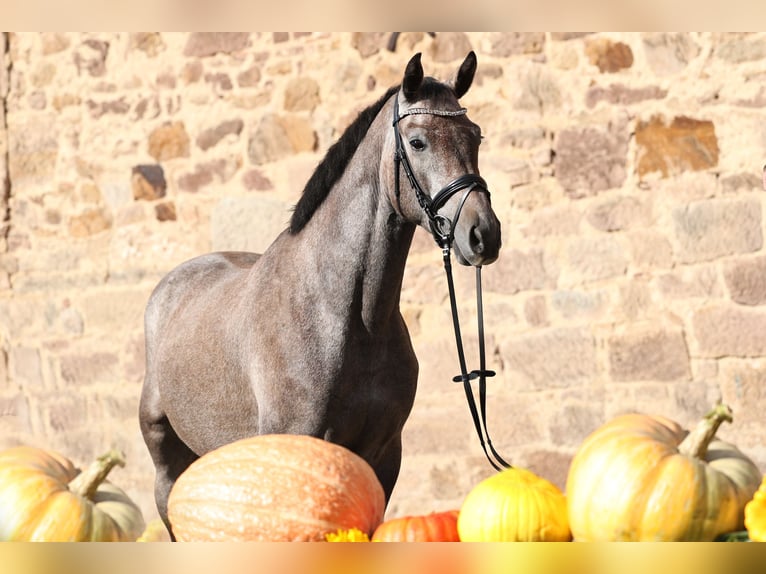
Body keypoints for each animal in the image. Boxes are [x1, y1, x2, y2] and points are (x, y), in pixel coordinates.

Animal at [139, 51, 502, 536]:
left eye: (475, 136)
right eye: (418, 142)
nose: (483, 235)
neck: (344, 315)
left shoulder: (384, 454)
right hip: (165, 455)